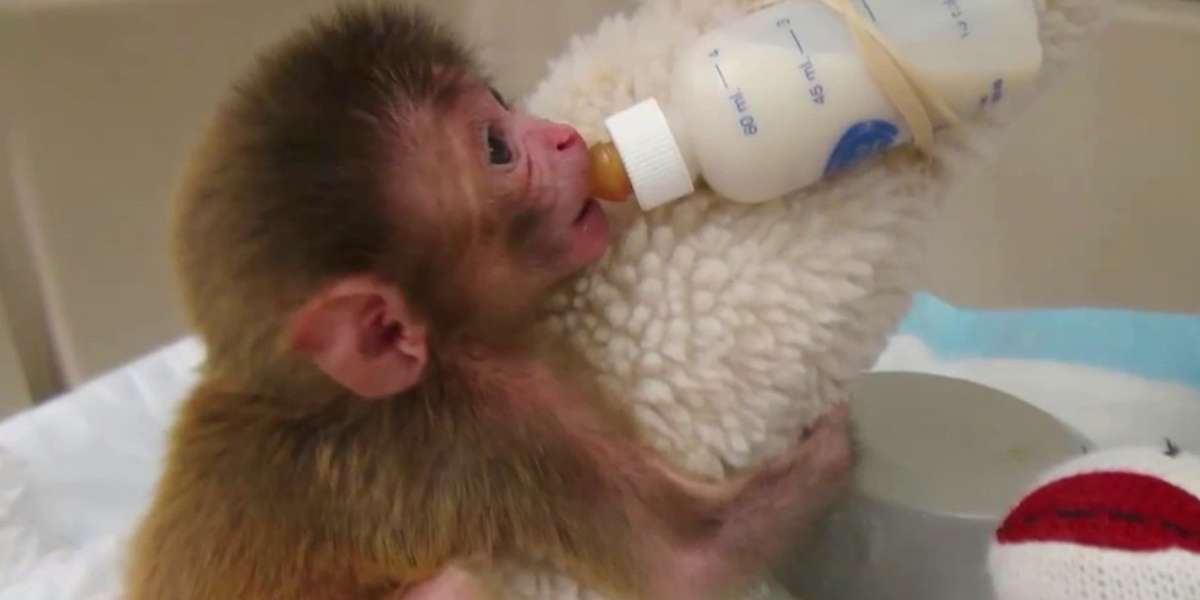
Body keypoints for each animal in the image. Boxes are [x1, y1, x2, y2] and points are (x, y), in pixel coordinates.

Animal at [125, 4, 853, 600]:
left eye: (504, 101)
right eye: (497, 148)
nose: (564, 137)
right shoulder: (488, 425)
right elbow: (689, 559)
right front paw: (835, 434)